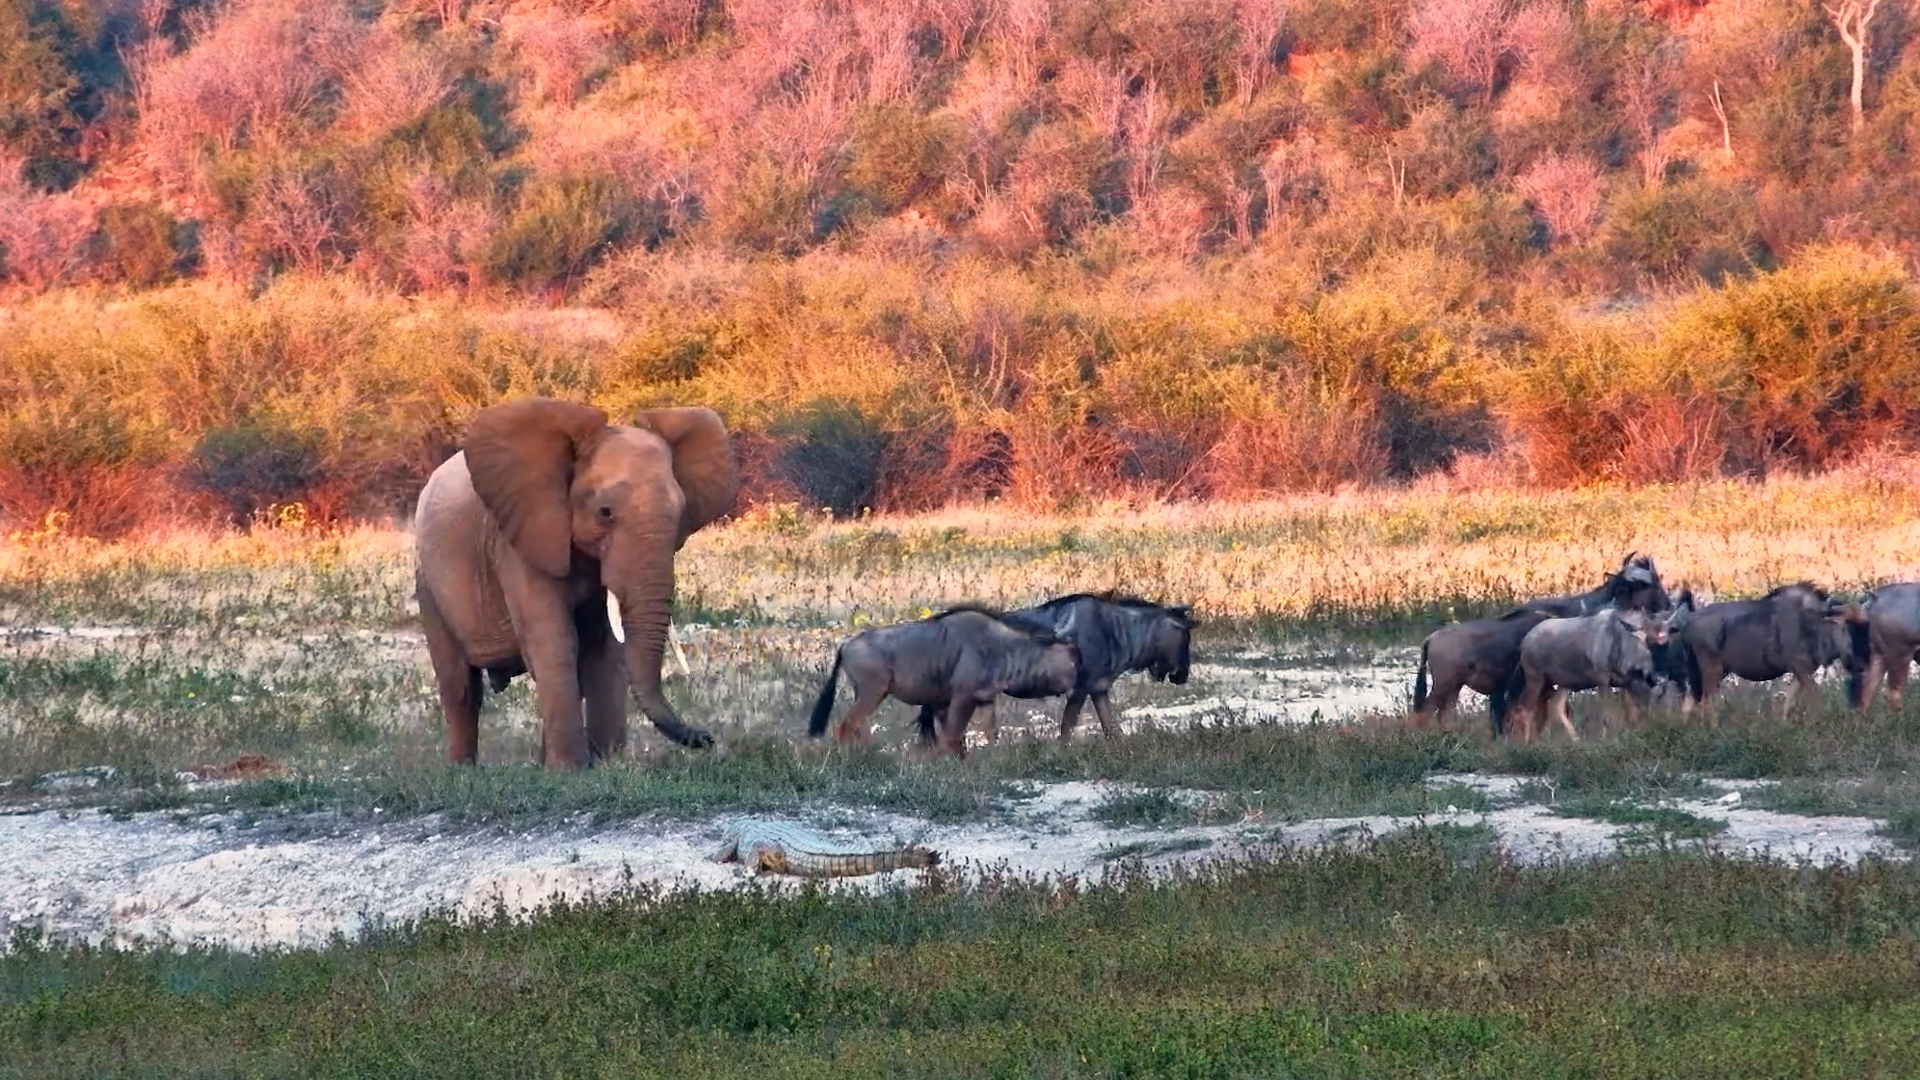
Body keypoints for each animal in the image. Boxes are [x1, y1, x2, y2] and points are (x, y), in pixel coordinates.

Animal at [411, 396, 737, 769]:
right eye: (605, 512)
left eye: (681, 512)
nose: (707, 738)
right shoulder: (521, 538)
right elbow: (554, 641)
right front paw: (571, 772)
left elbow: (605, 647)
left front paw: (606, 765)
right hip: (427, 580)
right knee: (460, 687)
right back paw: (464, 770)